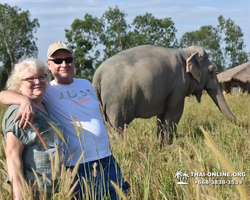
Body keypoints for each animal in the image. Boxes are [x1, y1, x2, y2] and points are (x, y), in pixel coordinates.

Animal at [93, 45, 237, 141]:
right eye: (211, 71)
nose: (239, 124)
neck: (186, 52)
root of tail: (97, 77)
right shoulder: (179, 85)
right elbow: (175, 113)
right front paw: (168, 145)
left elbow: (162, 116)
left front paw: (160, 145)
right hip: (117, 102)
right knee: (117, 127)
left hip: (101, 105)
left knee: (108, 127)